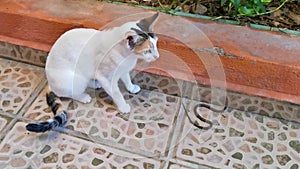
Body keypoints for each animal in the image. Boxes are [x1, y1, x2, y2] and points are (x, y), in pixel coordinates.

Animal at [26, 12, 159, 133]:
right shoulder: (105, 76)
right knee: (69, 92)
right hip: (76, 79)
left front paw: (131, 87)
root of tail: (49, 82)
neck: (127, 57)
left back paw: (94, 84)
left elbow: (126, 78)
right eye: (147, 50)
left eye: (156, 44)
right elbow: (116, 93)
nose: (157, 56)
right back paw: (83, 96)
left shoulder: (122, 69)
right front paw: (123, 106)